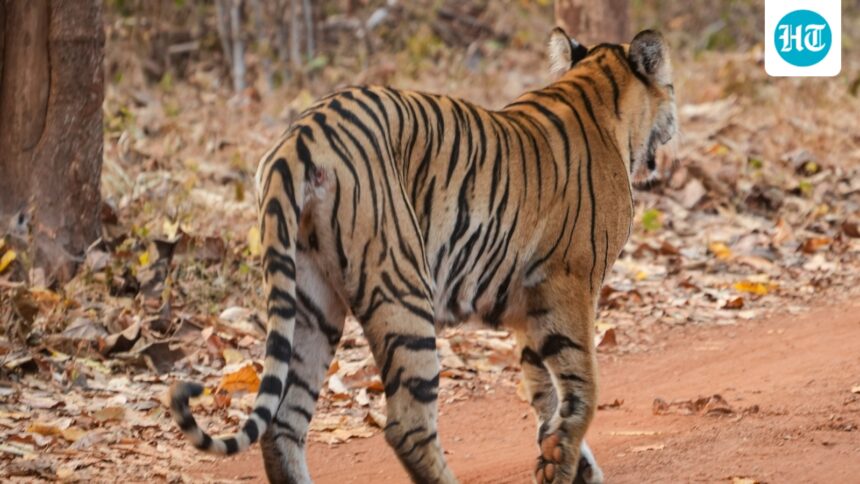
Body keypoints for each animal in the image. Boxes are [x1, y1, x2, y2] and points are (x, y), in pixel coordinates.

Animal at [170, 27, 677, 483]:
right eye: (670, 86)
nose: (675, 122)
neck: (599, 94)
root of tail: (302, 135)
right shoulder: (569, 284)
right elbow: (582, 384)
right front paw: (565, 463)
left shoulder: (530, 308)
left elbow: (545, 391)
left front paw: (563, 462)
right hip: (403, 290)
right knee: (407, 425)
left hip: (310, 302)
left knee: (283, 422)